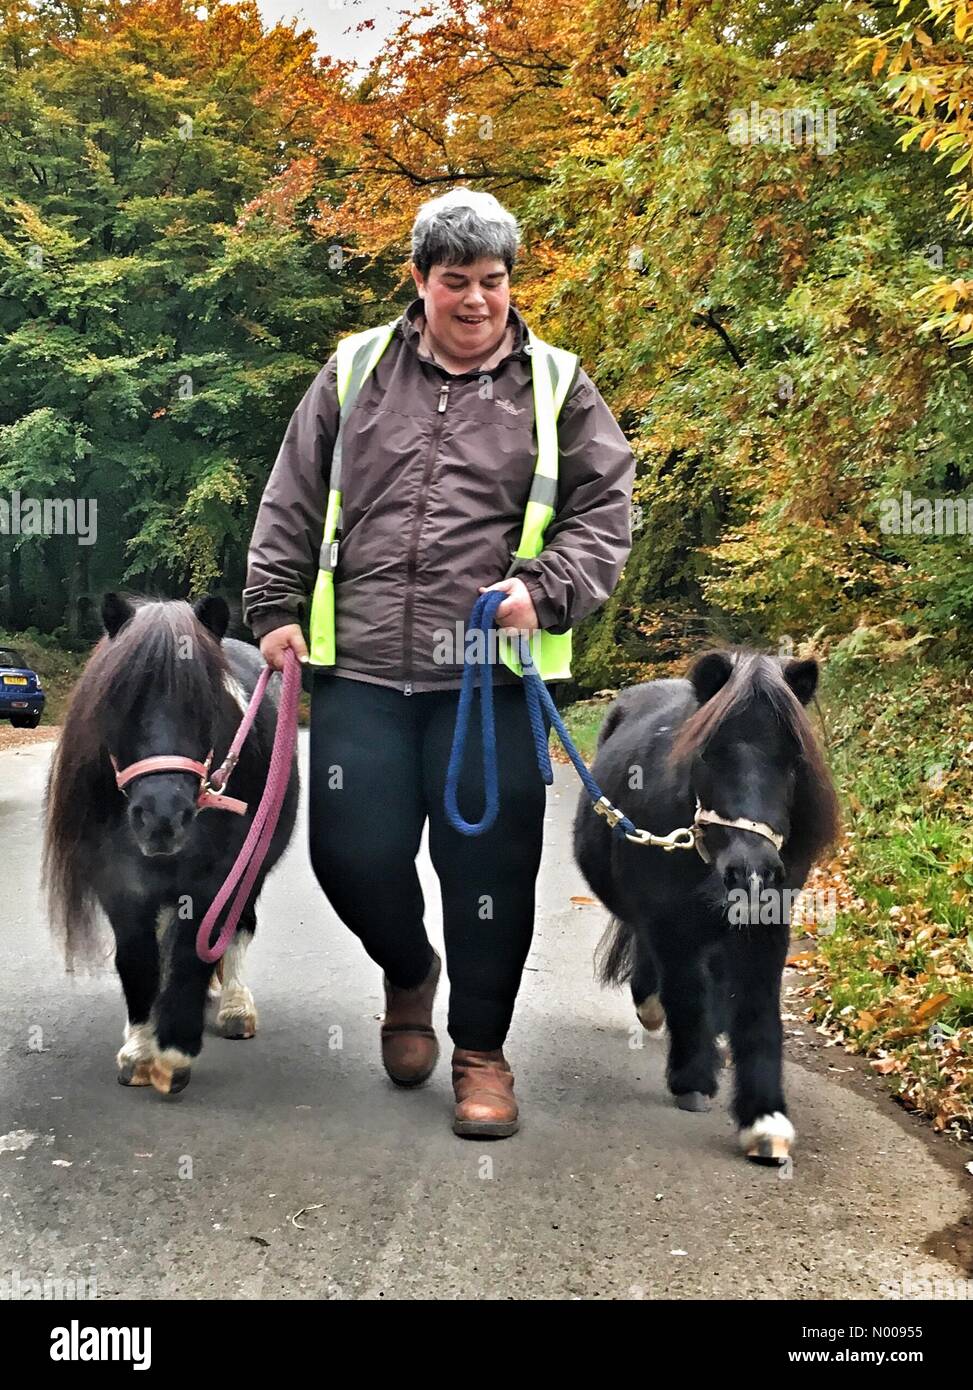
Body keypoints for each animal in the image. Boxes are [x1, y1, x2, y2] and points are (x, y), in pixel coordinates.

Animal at [42, 597, 300, 1095]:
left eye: (204, 704)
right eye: (120, 701)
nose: (163, 818)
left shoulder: (215, 879)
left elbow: (193, 950)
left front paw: (174, 1051)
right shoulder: (120, 883)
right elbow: (138, 958)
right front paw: (140, 1051)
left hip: (252, 869)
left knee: (237, 928)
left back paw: (234, 1005)